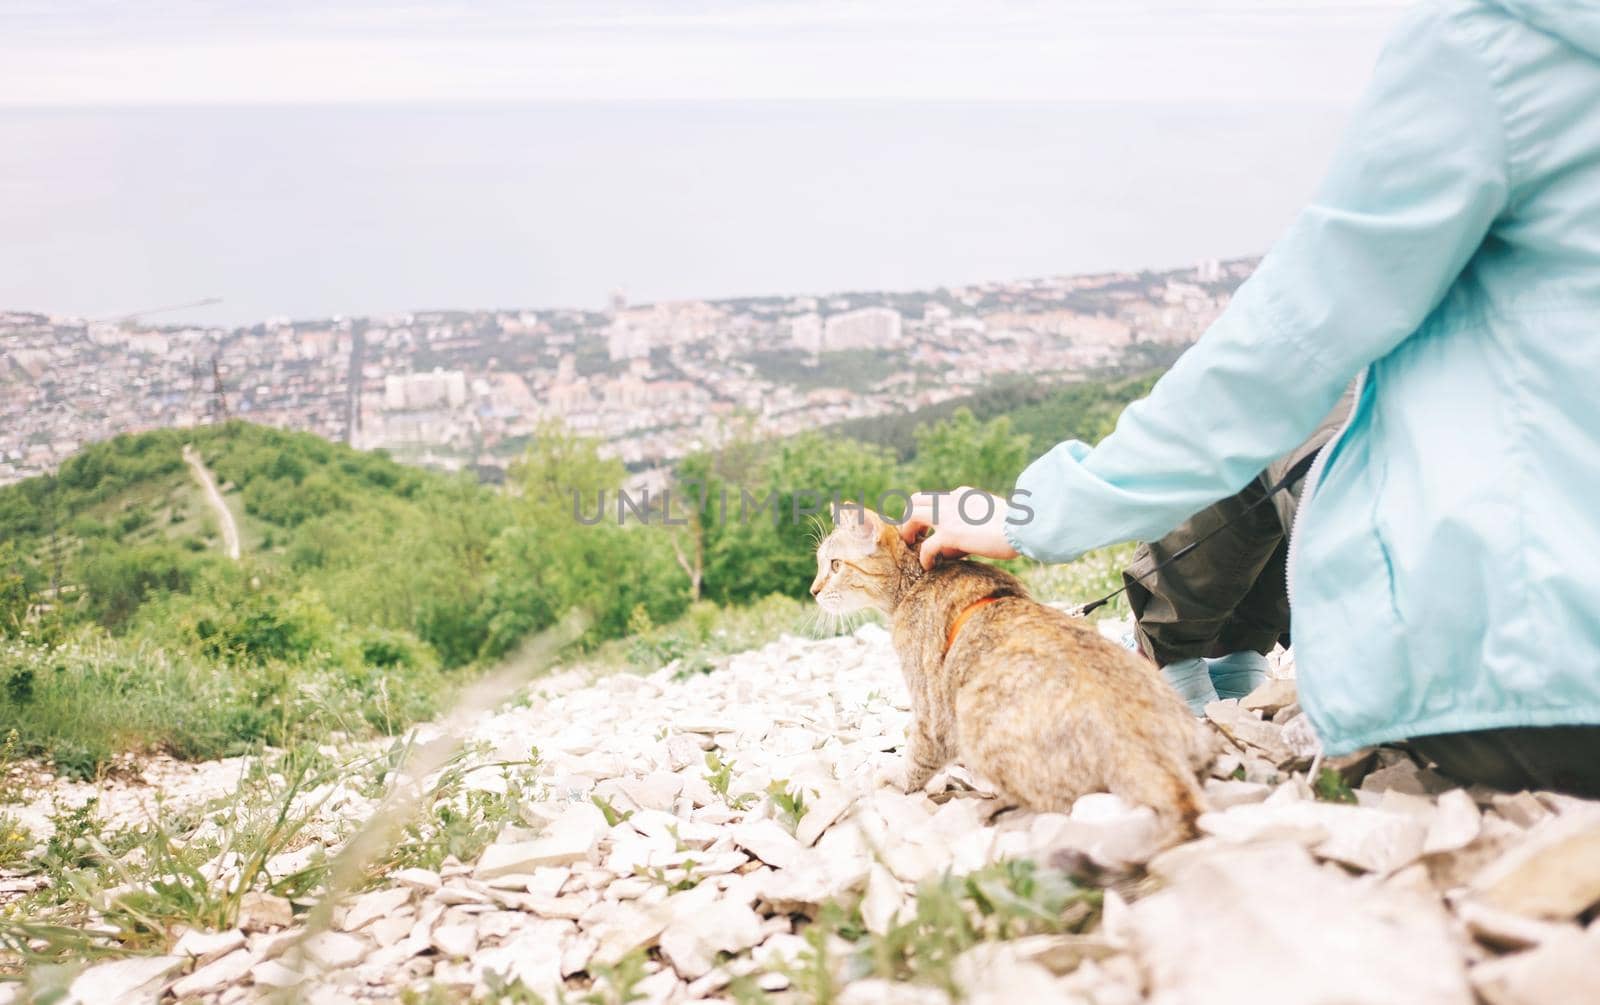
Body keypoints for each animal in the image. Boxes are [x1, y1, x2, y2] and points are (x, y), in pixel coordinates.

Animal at [812, 505, 1209, 825]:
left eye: (834, 565)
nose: (814, 591)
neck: (918, 580)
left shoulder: (931, 712)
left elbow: (919, 754)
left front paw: (897, 776)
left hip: (974, 716)